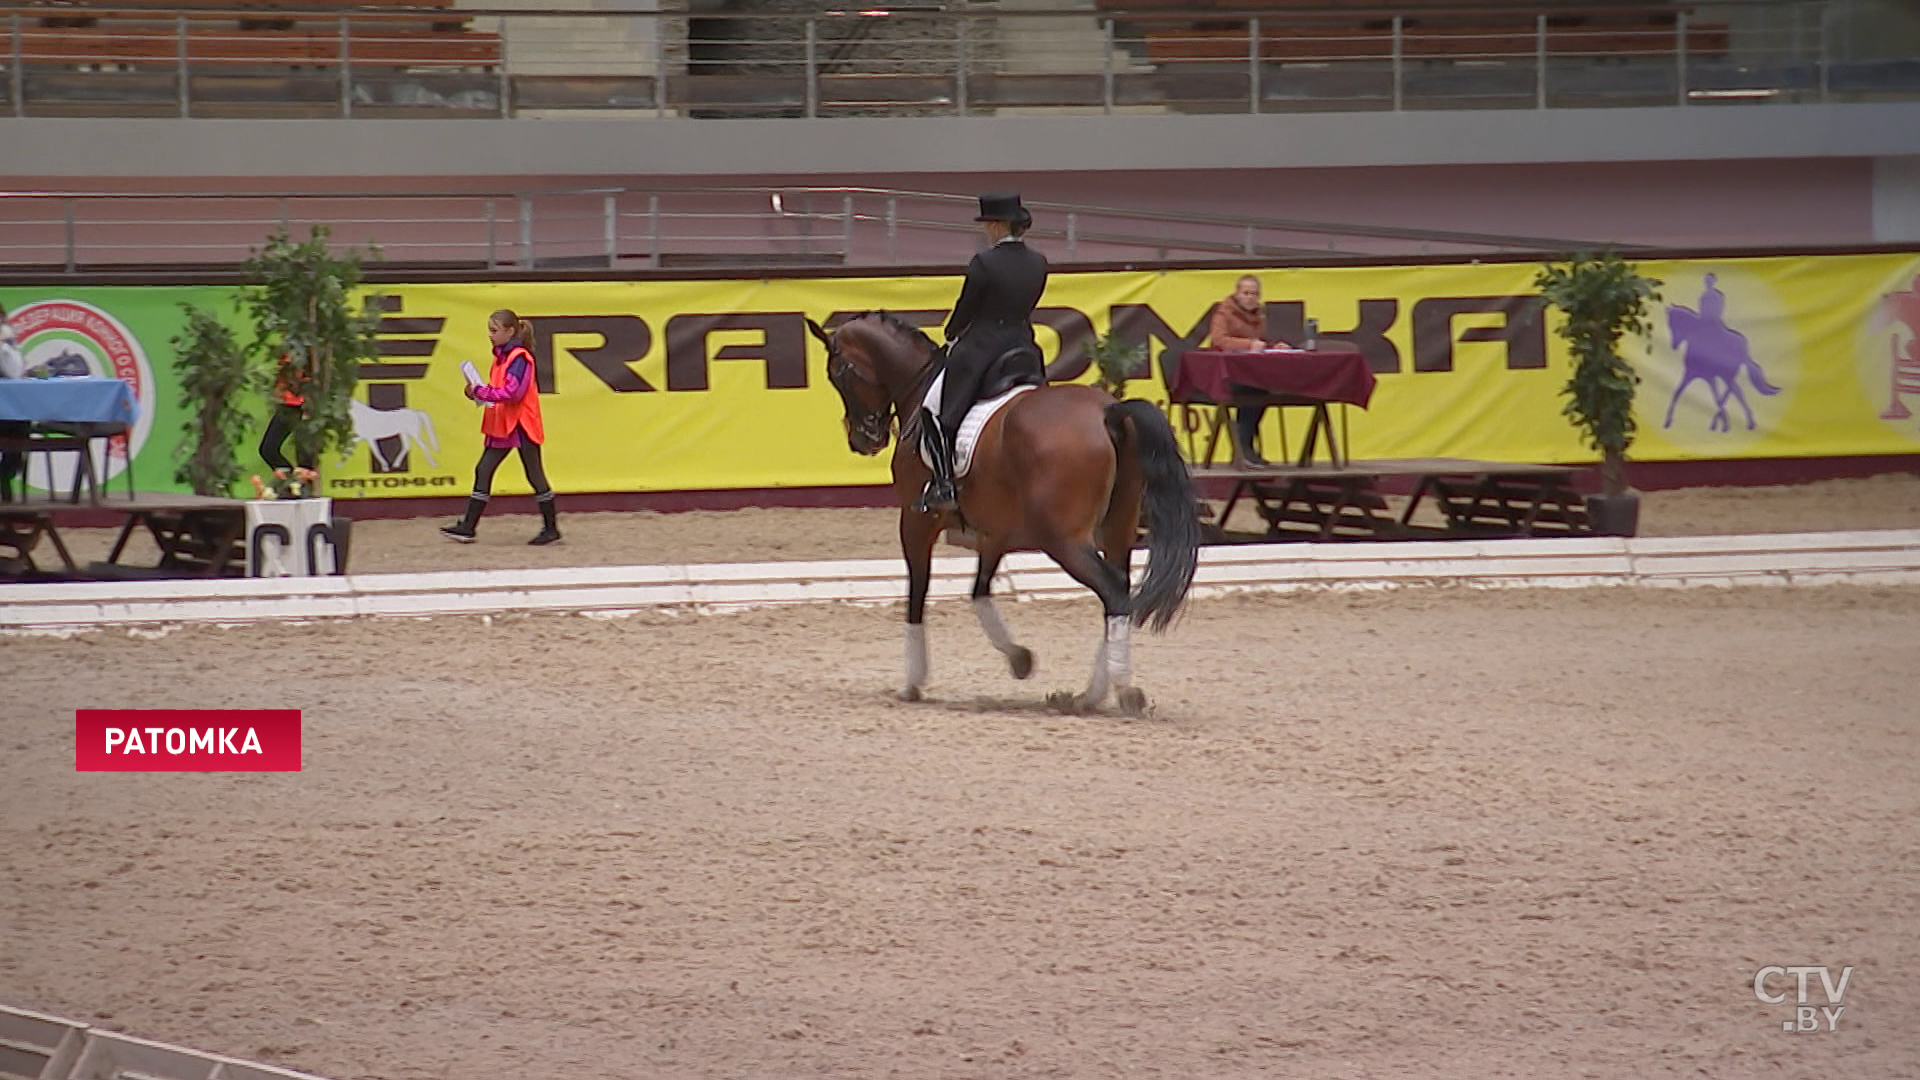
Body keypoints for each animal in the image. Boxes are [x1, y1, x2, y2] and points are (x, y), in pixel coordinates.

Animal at [806, 311, 1198, 714]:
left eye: (838, 373)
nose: (863, 440)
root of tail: (1109, 411)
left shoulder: (916, 520)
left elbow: (918, 590)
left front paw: (912, 682)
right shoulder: (994, 531)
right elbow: (979, 591)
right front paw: (1019, 658)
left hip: (1064, 540)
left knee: (1114, 593)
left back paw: (1121, 690)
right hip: (1117, 529)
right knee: (1119, 589)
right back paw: (1087, 695)